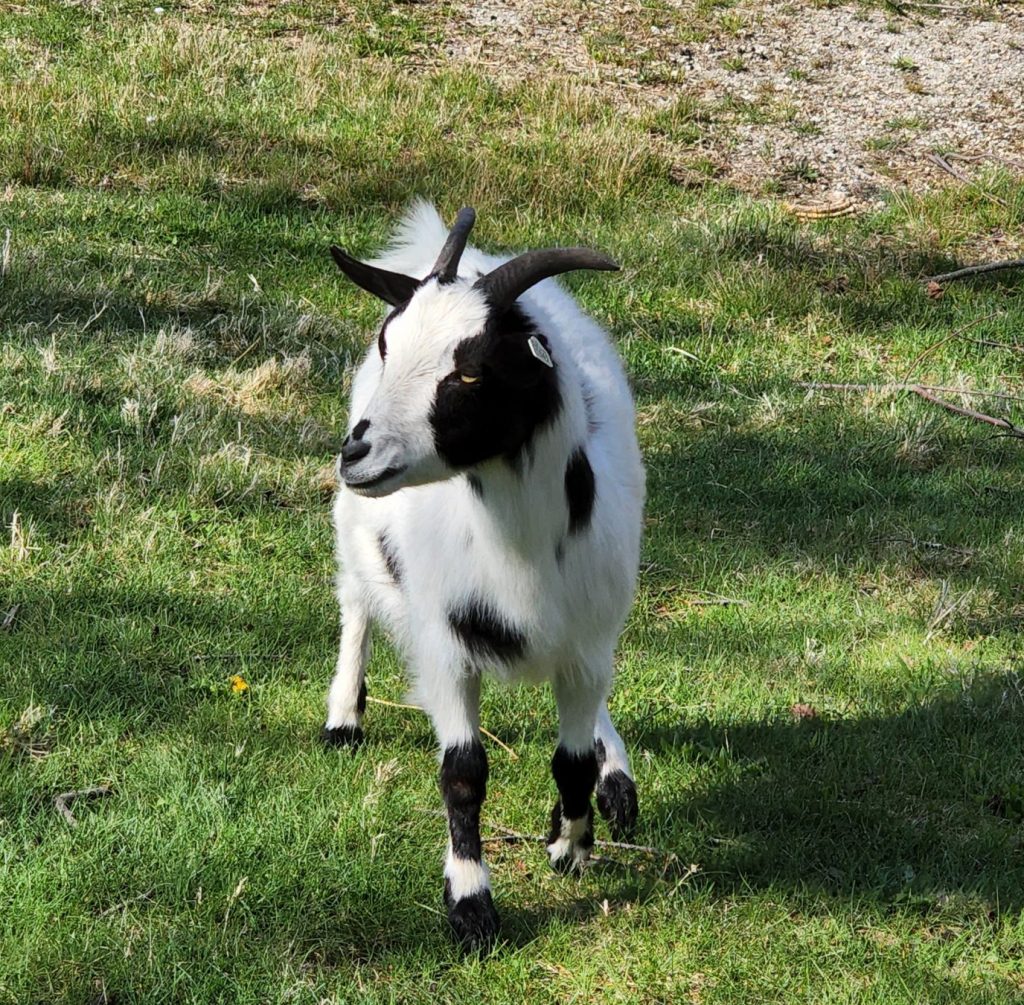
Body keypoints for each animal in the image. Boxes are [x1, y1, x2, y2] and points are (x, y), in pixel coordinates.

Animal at [323, 205, 643, 950]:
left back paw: (616, 776)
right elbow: (463, 772)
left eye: (470, 373)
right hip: (358, 526)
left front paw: (571, 839)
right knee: (355, 597)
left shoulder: (586, 643)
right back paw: (344, 714)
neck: (514, 549)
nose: (358, 452)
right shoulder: (446, 647)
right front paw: (472, 906)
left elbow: (570, 759)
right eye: (388, 344)